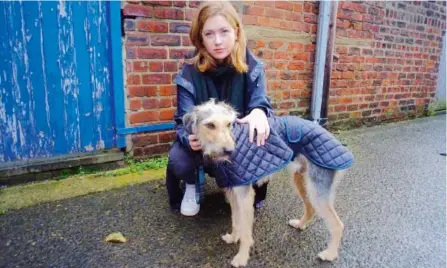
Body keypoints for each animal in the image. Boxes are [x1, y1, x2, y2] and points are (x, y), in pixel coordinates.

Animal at [183, 99, 354, 266]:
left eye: (229, 124)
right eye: (210, 125)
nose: (230, 151)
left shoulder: (245, 196)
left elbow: (245, 231)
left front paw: (242, 258)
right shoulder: (233, 193)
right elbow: (235, 220)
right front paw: (233, 237)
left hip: (317, 190)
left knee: (337, 225)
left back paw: (330, 254)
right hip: (301, 182)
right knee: (310, 209)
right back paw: (300, 224)